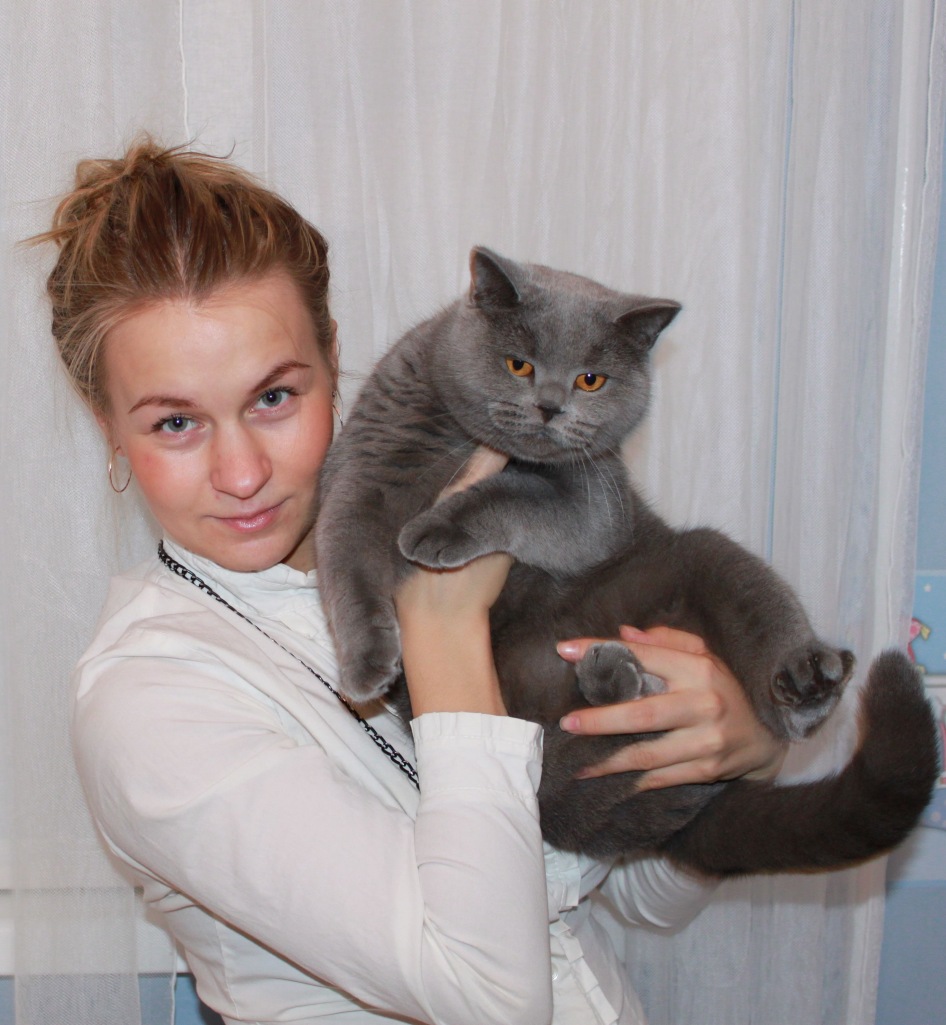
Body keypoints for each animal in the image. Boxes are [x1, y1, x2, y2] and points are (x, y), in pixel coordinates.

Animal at [314, 246, 938, 876]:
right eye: (518, 365)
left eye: (591, 380)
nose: (550, 406)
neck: (469, 447)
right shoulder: (363, 472)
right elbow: (345, 559)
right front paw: (366, 668)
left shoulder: (596, 503)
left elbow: (513, 494)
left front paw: (433, 529)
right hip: (551, 750)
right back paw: (615, 676)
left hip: (698, 560)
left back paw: (802, 684)